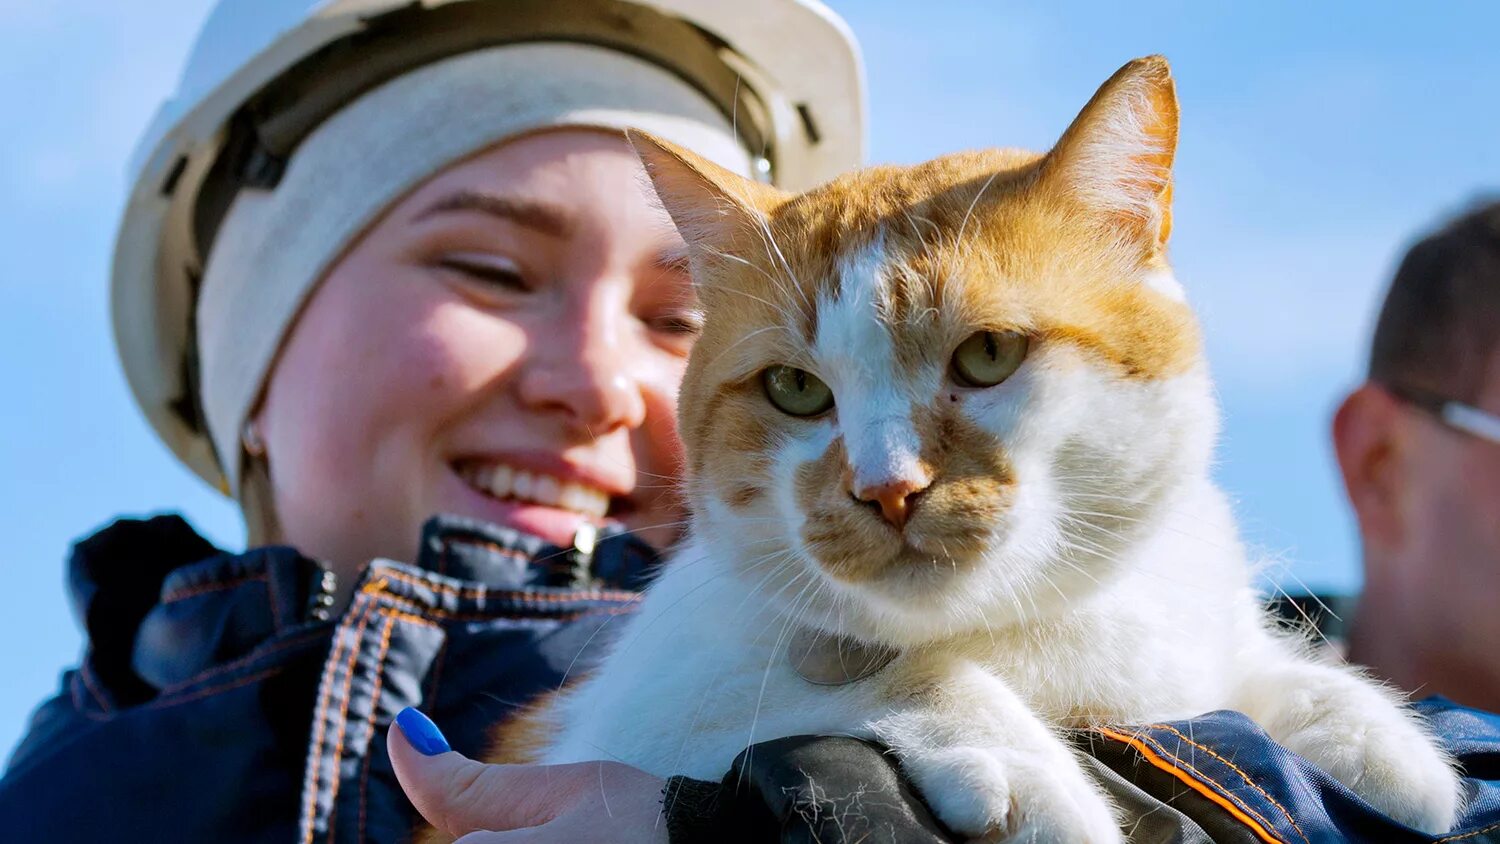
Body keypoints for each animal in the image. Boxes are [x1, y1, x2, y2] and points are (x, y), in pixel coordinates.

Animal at [498, 56, 1458, 839]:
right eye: (795, 389)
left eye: (989, 353)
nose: (886, 488)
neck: (1031, 627)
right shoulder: (615, 724)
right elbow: (877, 671)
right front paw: (1032, 778)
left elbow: (1249, 666)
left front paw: (1379, 740)